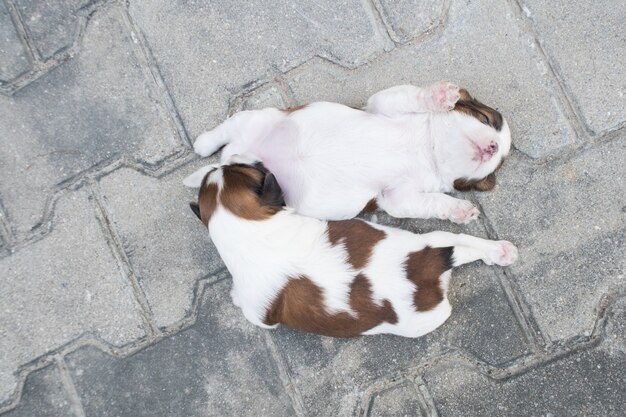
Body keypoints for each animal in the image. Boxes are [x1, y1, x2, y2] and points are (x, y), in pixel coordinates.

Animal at [183, 157, 516, 338]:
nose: (255, 160)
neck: (250, 230)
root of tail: (429, 263)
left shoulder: (258, 315)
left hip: (426, 318)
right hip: (431, 238)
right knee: (465, 242)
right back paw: (501, 251)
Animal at [185, 82, 512, 224]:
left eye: (496, 167)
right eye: (485, 119)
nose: (494, 147)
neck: (428, 147)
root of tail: (235, 157)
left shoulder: (399, 197)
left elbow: (433, 202)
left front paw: (460, 210)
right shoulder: (384, 105)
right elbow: (411, 95)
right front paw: (440, 96)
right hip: (254, 119)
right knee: (223, 131)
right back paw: (202, 143)